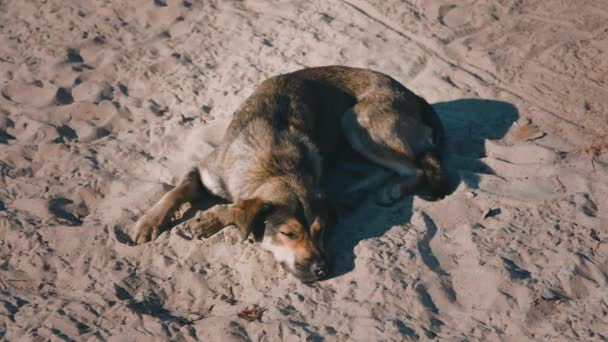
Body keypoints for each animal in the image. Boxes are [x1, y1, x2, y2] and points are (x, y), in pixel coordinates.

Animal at [132, 65, 446, 282]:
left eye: (323, 231)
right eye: (288, 233)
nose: (322, 270)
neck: (273, 163)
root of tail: (414, 96)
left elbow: (233, 208)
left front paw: (211, 219)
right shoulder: (204, 170)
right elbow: (175, 190)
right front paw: (148, 222)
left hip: (355, 121)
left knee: (414, 168)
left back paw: (387, 191)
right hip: (351, 128)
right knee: (387, 168)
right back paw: (356, 193)